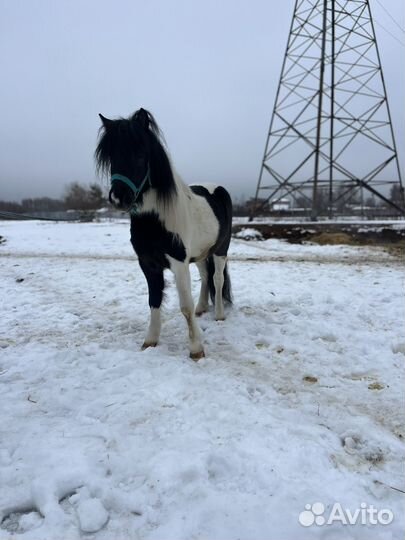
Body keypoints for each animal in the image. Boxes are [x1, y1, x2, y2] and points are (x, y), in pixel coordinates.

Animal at [94, 108, 232, 360]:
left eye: (140, 154)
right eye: (111, 158)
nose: (119, 198)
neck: (156, 220)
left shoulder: (178, 264)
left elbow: (184, 306)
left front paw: (196, 349)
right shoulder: (148, 264)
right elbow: (154, 300)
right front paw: (150, 341)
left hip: (220, 250)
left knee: (217, 279)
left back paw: (218, 315)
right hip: (200, 254)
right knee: (205, 276)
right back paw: (202, 309)